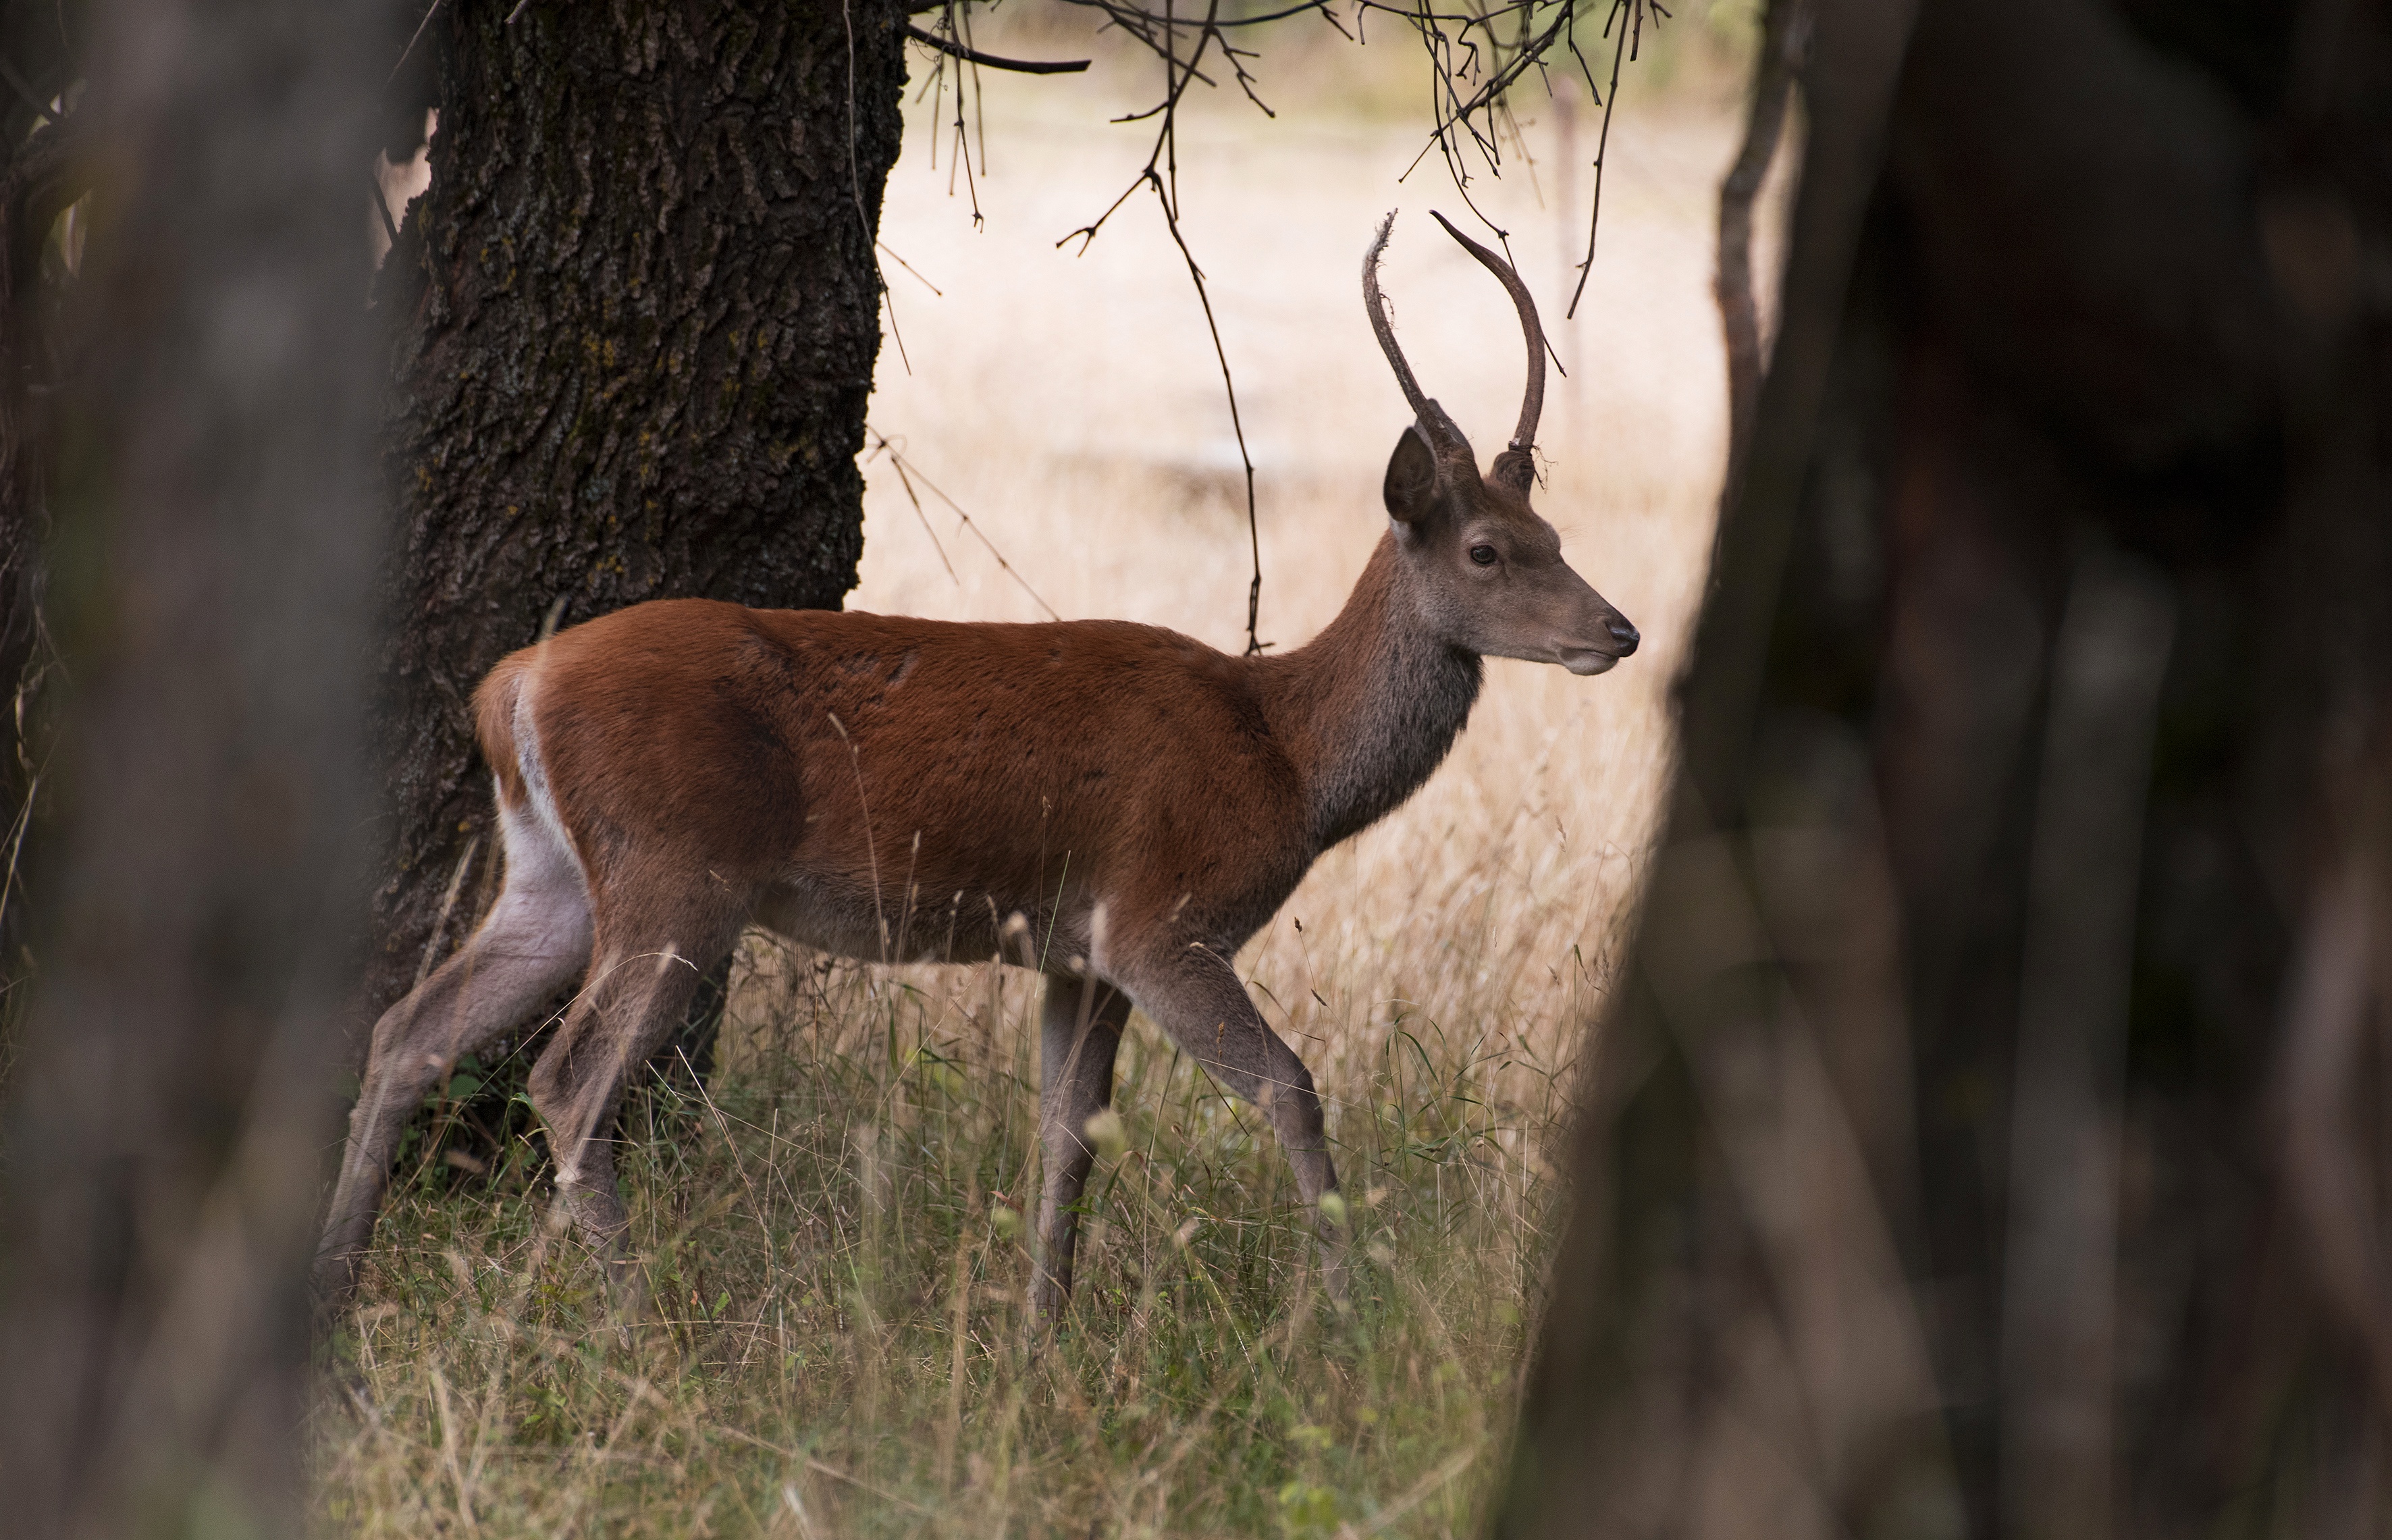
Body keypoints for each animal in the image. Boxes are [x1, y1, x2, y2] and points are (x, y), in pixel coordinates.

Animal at [318, 214, 1636, 1320]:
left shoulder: (1076, 951)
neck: (1284, 753)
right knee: (567, 1078)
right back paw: (634, 1322)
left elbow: (1067, 1133)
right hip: (673, 870)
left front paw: (1037, 1335)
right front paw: (1342, 1322)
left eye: (1557, 535)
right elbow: (1288, 1087)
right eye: (1486, 548)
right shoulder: (1160, 918)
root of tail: (510, 687)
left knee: (410, 1029)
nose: (1617, 630)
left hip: (554, 870)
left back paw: (339, 1281)